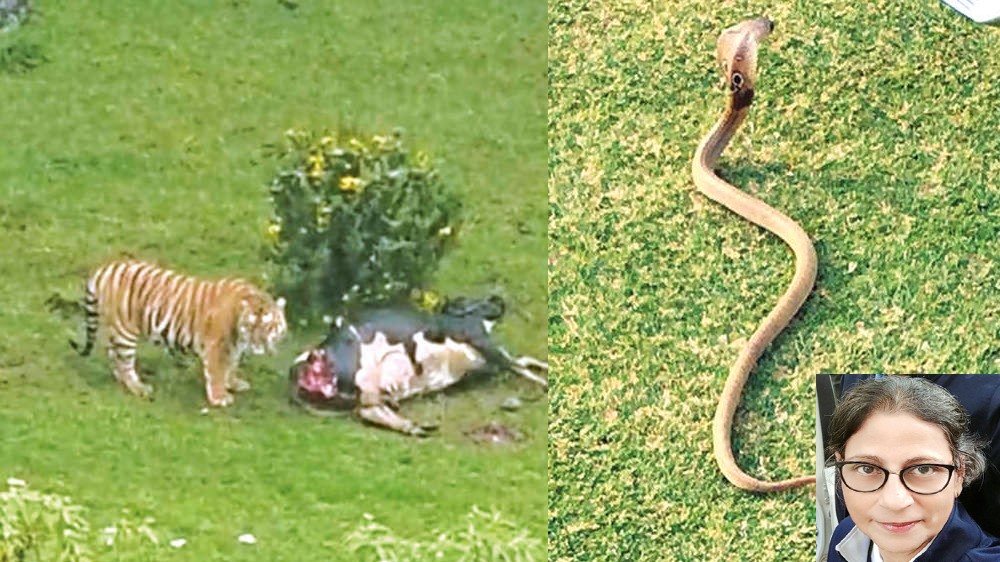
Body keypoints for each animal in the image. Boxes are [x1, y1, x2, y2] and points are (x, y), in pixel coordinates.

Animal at [72, 259, 287, 407]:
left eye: (266, 326)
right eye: (251, 326)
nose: (257, 345)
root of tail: (106, 267)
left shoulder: (234, 347)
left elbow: (231, 367)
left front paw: (233, 383)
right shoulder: (217, 346)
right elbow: (217, 371)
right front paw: (219, 398)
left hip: (116, 329)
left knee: (112, 353)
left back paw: (121, 379)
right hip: (126, 331)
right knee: (124, 361)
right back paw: (138, 387)